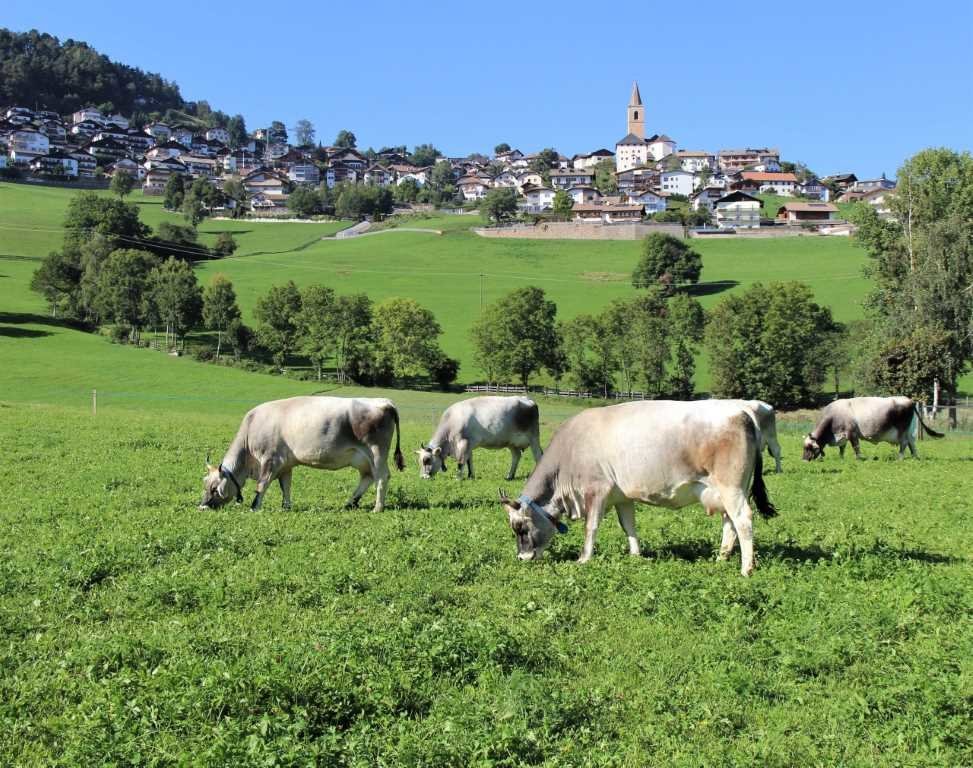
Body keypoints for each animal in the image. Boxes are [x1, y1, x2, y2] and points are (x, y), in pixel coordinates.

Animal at [199, 396, 404, 510]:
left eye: (214, 488)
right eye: (205, 484)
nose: (201, 506)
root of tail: (384, 402)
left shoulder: (270, 460)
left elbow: (262, 485)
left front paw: (254, 506)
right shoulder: (285, 464)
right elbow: (286, 486)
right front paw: (286, 507)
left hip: (376, 453)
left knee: (382, 477)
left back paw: (377, 508)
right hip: (361, 458)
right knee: (367, 477)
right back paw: (350, 503)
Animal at [414, 396, 544, 480]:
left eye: (427, 460)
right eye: (420, 461)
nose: (423, 477)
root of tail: (528, 399)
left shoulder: (464, 442)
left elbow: (461, 462)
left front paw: (458, 477)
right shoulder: (469, 444)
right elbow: (469, 460)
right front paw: (470, 476)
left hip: (534, 437)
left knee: (538, 456)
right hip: (512, 443)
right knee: (516, 456)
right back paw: (509, 476)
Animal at [498, 400, 780, 572]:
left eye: (521, 528)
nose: (522, 557)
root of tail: (741, 409)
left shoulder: (596, 491)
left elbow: (591, 526)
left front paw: (583, 558)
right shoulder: (622, 496)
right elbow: (628, 525)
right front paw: (635, 554)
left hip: (732, 488)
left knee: (743, 520)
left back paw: (746, 569)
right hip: (724, 492)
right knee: (729, 523)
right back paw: (721, 558)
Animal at [800, 396, 944, 462]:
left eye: (810, 447)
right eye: (804, 447)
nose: (804, 460)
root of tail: (909, 400)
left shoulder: (852, 433)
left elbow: (856, 447)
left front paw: (858, 459)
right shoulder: (842, 436)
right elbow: (842, 448)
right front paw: (841, 458)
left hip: (902, 431)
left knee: (903, 444)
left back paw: (900, 458)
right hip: (910, 432)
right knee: (912, 444)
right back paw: (914, 457)